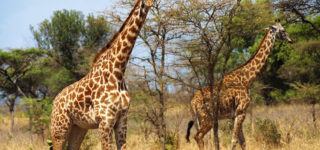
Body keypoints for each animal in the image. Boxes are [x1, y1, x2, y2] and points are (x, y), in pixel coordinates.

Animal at [50, 0, 153, 149]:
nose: (151, 4)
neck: (118, 71)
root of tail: (55, 101)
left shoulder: (122, 119)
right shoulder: (105, 121)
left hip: (79, 127)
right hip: (59, 129)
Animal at [185, 21, 292, 150]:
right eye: (283, 30)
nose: (290, 40)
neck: (246, 79)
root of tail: (192, 102)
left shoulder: (235, 115)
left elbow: (242, 141)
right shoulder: (241, 111)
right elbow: (234, 140)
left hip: (198, 120)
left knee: (200, 138)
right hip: (208, 119)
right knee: (198, 137)